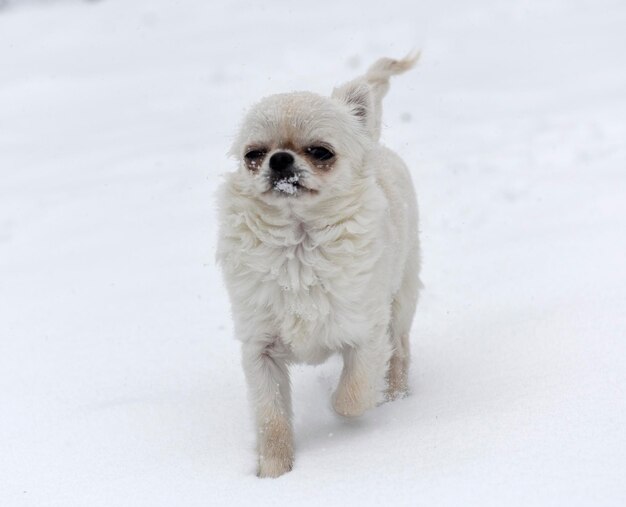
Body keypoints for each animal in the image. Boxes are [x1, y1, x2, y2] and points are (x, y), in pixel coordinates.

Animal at [214, 55, 420, 480]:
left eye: (321, 152)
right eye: (253, 154)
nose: (279, 158)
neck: (298, 249)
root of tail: (374, 145)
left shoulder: (366, 334)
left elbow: (353, 395)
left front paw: (339, 407)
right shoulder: (260, 350)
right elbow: (270, 416)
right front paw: (274, 472)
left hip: (401, 301)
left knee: (399, 352)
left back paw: (394, 395)